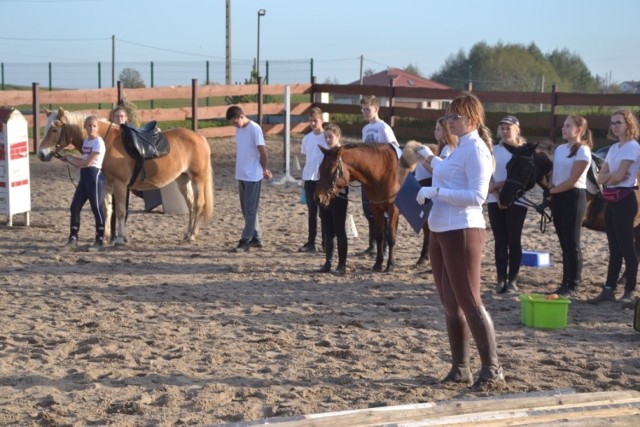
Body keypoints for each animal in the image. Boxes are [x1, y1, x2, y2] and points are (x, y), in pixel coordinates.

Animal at [38, 108, 215, 246]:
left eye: (54, 130)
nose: (41, 154)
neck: (106, 142)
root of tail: (200, 138)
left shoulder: (120, 184)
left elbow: (121, 211)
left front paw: (120, 238)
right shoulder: (106, 185)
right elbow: (107, 210)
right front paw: (106, 237)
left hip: (198, 179)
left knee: (198, 205)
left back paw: (192, 235)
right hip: (183, 179)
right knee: (191, 205)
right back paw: (187, 233)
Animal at [316, 142, 410, 272]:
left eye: (331, 171)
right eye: (320, 169)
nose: (317, 198)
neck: (383, 171)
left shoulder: (393, 210)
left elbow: (391, 237)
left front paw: (390, 265)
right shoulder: (376, 209)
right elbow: (379, 236)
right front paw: (378, 264)